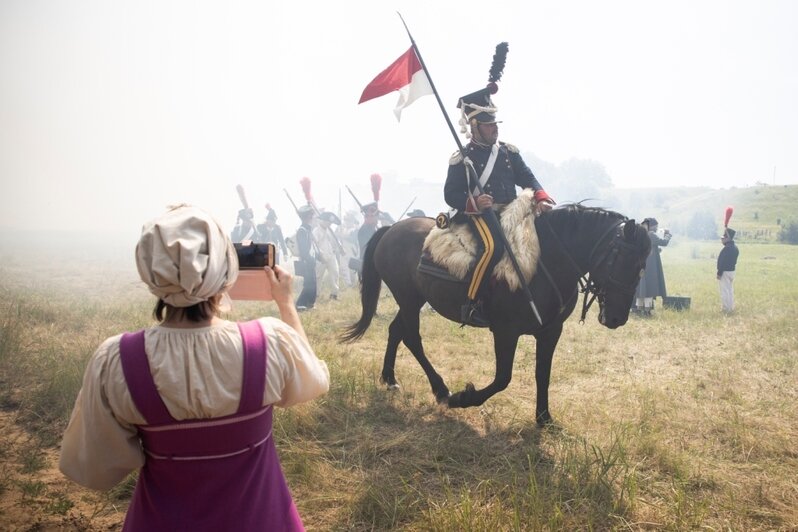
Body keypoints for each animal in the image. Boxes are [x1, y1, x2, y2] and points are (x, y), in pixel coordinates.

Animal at [340, 204, 648, 424]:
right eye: (622, 258)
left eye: (643, 265)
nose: (617, 318)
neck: (546, 261)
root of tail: (392, 228)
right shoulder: (505, 332)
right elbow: (502, 379)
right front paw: (463, 398)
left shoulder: (550, 332)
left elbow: (543, 373)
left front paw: (544, 418)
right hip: (407, 298)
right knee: (412, 339)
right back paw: (441, 390)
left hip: (412, 301)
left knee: (396, 331)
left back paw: (390, 378)